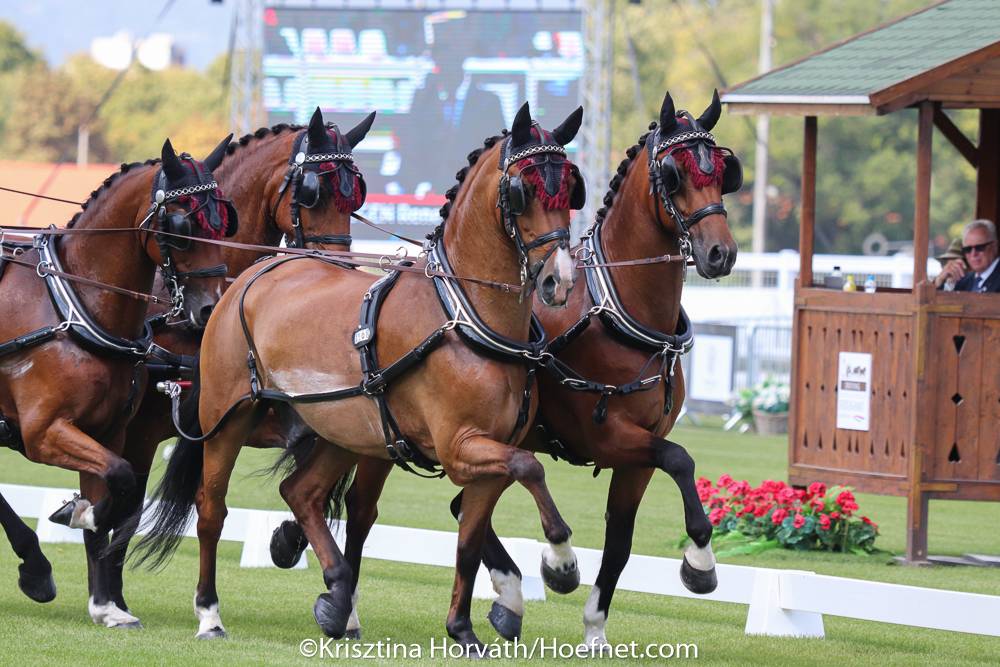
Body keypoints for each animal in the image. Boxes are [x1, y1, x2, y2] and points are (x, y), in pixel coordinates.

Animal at [0, 137, 234, 626]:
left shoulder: (109, 431)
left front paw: (107, 605)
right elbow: (120, 481)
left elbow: (118, 492)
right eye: (183, 224)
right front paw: (79, 514)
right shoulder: (44, 432)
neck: (76, 306)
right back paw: (35, 566)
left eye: (224, 222)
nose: (210, 309)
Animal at [92, 107, 376, 628]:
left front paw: (290, 542)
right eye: (312, 191)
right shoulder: (151, 426)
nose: (339, 271)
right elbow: (130, 503)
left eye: (355, 197)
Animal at [135, 102, 584, 650]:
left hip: (344, 431)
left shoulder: (486, 459)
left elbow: (469, 541)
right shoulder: (459, 447)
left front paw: (462, 629)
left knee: (302, 493)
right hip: (229, 419)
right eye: (524, 191)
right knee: (211, 510)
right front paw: (561, 563)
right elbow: (531, 467)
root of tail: (252, 276)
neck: (464, 315)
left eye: (570, 189)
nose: (559, 280)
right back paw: (210, 613)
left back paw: (336, 591)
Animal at [302, 91, 741, 646]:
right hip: (383, 438)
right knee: (362, 512)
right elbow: (679, 458)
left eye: (723, 171)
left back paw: (506, 598)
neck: (617, 313)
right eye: (674, 173)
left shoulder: (638, 455)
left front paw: (598, 626)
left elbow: (623, 538)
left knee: (459, 507)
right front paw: (693, 564)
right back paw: (349, 608)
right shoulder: (606, 437)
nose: (720, 253)